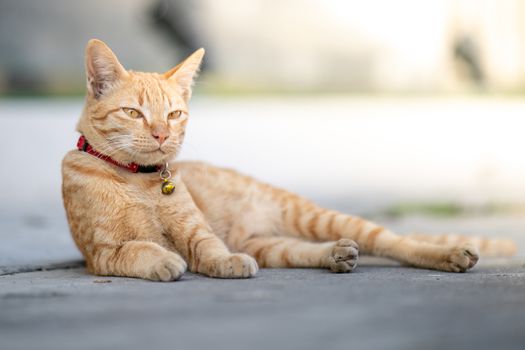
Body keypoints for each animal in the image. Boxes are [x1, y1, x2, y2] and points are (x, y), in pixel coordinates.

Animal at [61, 39, 516, 282]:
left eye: (174, 115)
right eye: (133, 113)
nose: (162, 135)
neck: (140, 180)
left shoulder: (197, 230)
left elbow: (207, 246)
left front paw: (223, 261)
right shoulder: (102, 254)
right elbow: (137, 249)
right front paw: (163, 258)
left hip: (313, 216)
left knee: (392, 241)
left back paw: (450, 255)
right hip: (270, 245)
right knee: (301, 250)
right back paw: (336, 255)